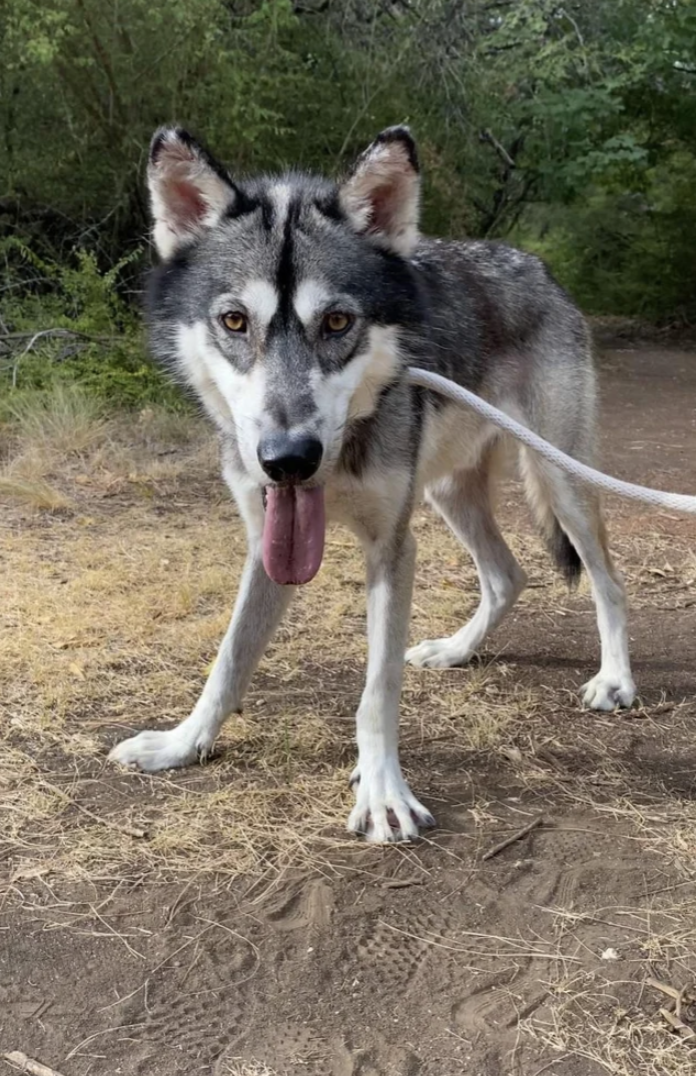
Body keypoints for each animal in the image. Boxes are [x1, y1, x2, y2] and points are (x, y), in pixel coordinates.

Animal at [108, 123, 636, 839]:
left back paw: (615, 680)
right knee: (508, 575)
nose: (288, 459)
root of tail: (535, 263)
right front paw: (183, 744)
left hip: (561, 483)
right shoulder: (267, 543)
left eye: (337, 322)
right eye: (234, 321)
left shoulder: (392, 545)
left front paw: (383, 791)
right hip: (448, 494)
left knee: (608, 583)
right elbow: (228, 661)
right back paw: (456, 651)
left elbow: (376, 690)